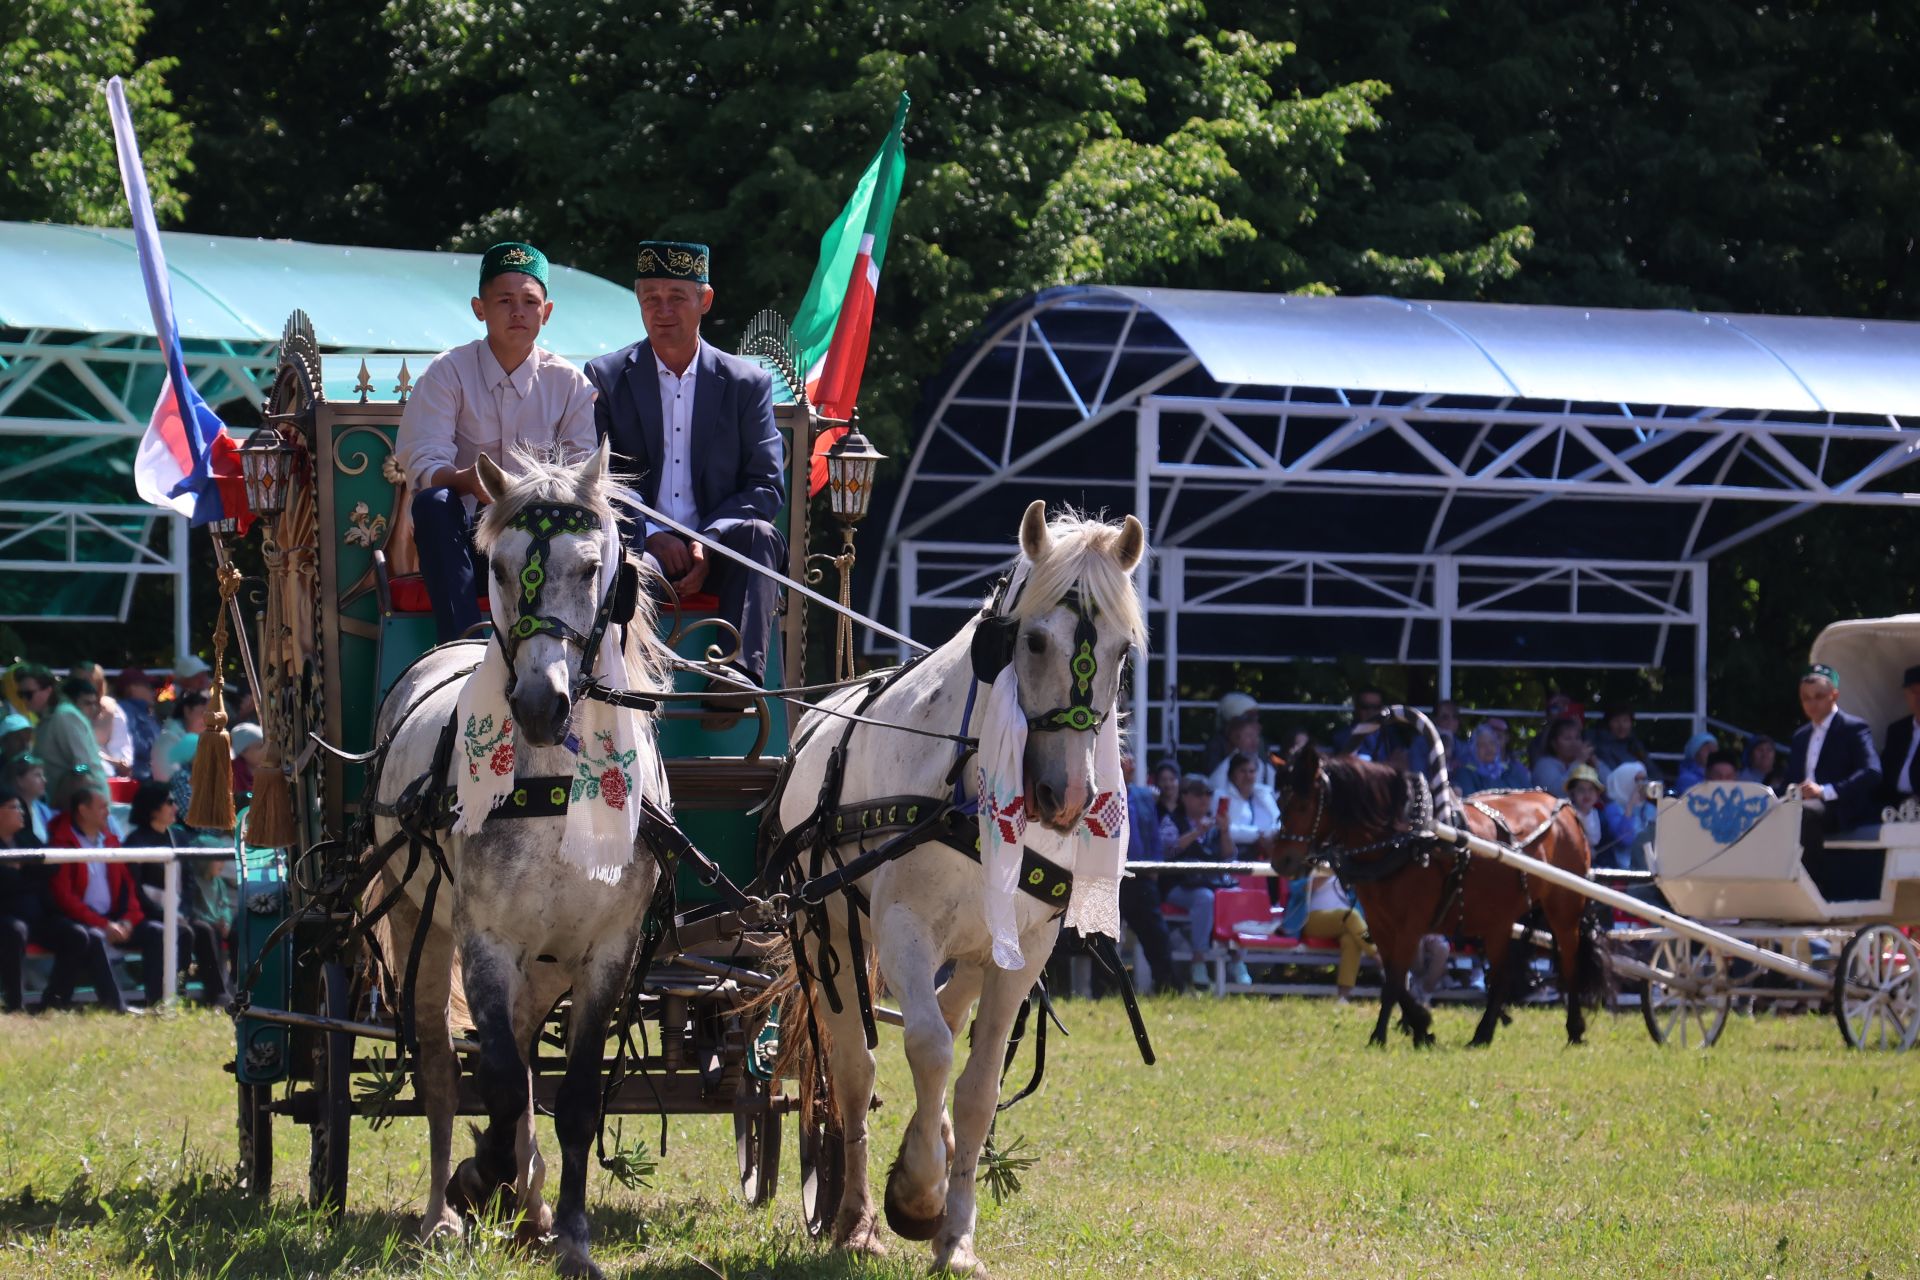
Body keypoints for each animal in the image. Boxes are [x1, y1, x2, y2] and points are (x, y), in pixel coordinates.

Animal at [364, 443, 668, 1280]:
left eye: (592, 565)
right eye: (496, 566)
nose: (539, 703)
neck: (555, 788)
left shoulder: (606, 951)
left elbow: (576, 1098)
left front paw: (569, 1234)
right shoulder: (486, 941)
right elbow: (495, 1082)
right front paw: (480, 1179)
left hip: (547, 959)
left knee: (530, 1052)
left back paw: (529, 1208)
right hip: (421, 922)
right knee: (443, 1066)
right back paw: (442, 1215)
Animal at [1274, 740, 1605, 1051]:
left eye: (1303, 803)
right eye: (1279, 801)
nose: (1282, 861)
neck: (1405, 839)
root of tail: (1564, 807)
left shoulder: (1410, 925)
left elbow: (1394, 980)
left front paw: (1380, 1036)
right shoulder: (1380, 925)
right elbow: (1394, 978)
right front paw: (1421, 1026)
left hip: (1564, 907)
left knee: (1569, 963)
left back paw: (1574, 1029)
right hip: (1498, 919)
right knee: (1502, 975)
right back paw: (1482, 1034)